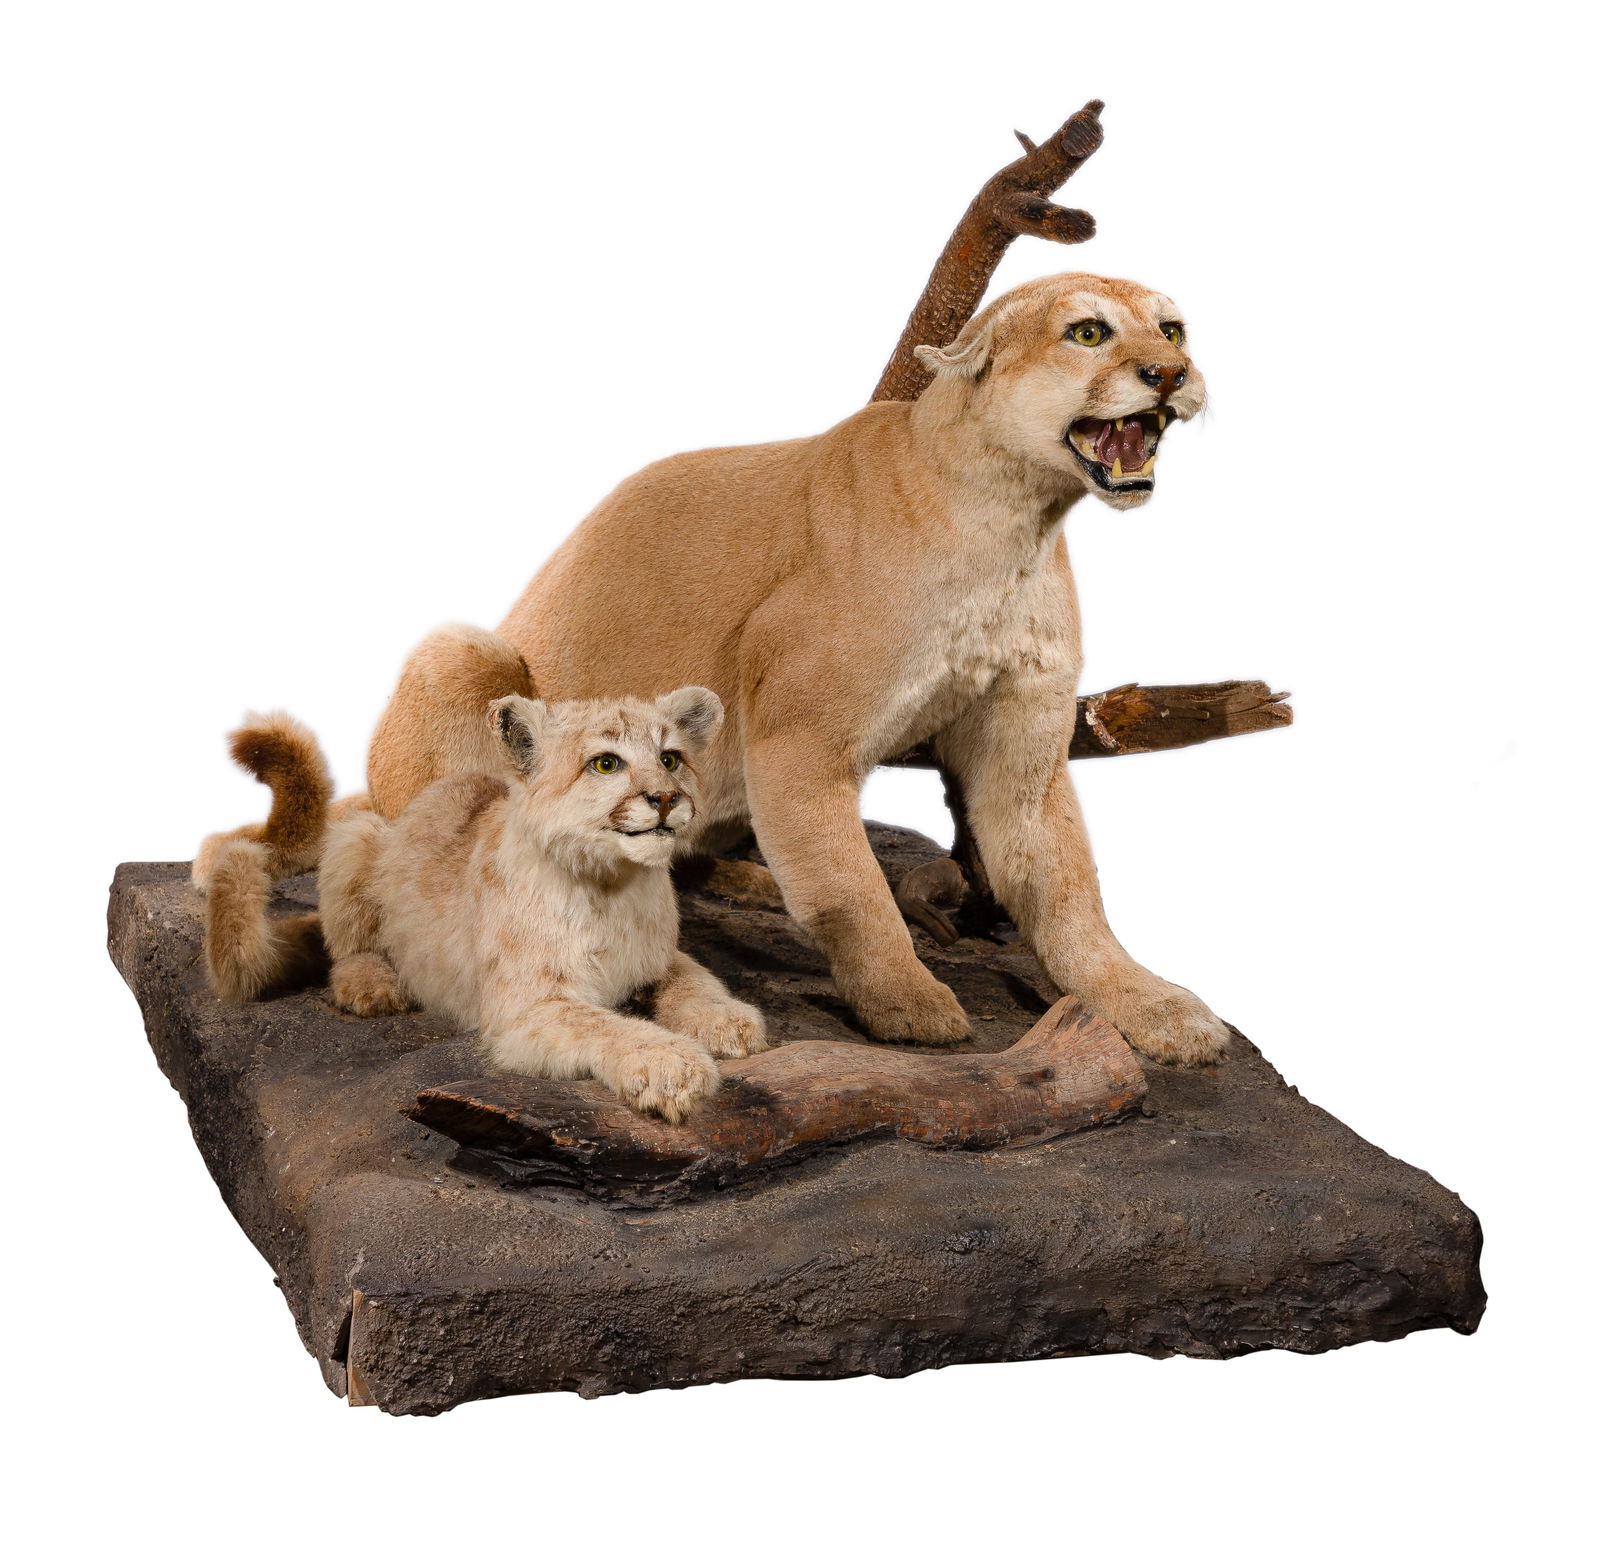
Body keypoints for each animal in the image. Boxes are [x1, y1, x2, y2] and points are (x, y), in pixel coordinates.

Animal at [204, 688, 767, 1121]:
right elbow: (606, 1024)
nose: (667, 799)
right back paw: (374, 986)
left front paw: (730, 1023)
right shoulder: (527, 1006)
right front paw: (673, 1067)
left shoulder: (662, 957)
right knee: (348, 946)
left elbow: (695, 979)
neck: (610, 886)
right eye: (606, 763)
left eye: (670, 758)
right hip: (355, 836)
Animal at [365, 270, 1230, 1065]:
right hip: (465, 655)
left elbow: (1065, 883)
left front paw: (1149, 1003)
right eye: (1088, 332)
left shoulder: (1023, 743)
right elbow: (852, 887)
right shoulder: (799, 737)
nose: (1171, 374)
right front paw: (908, 1001)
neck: (1014, 517)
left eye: (1173, 330)